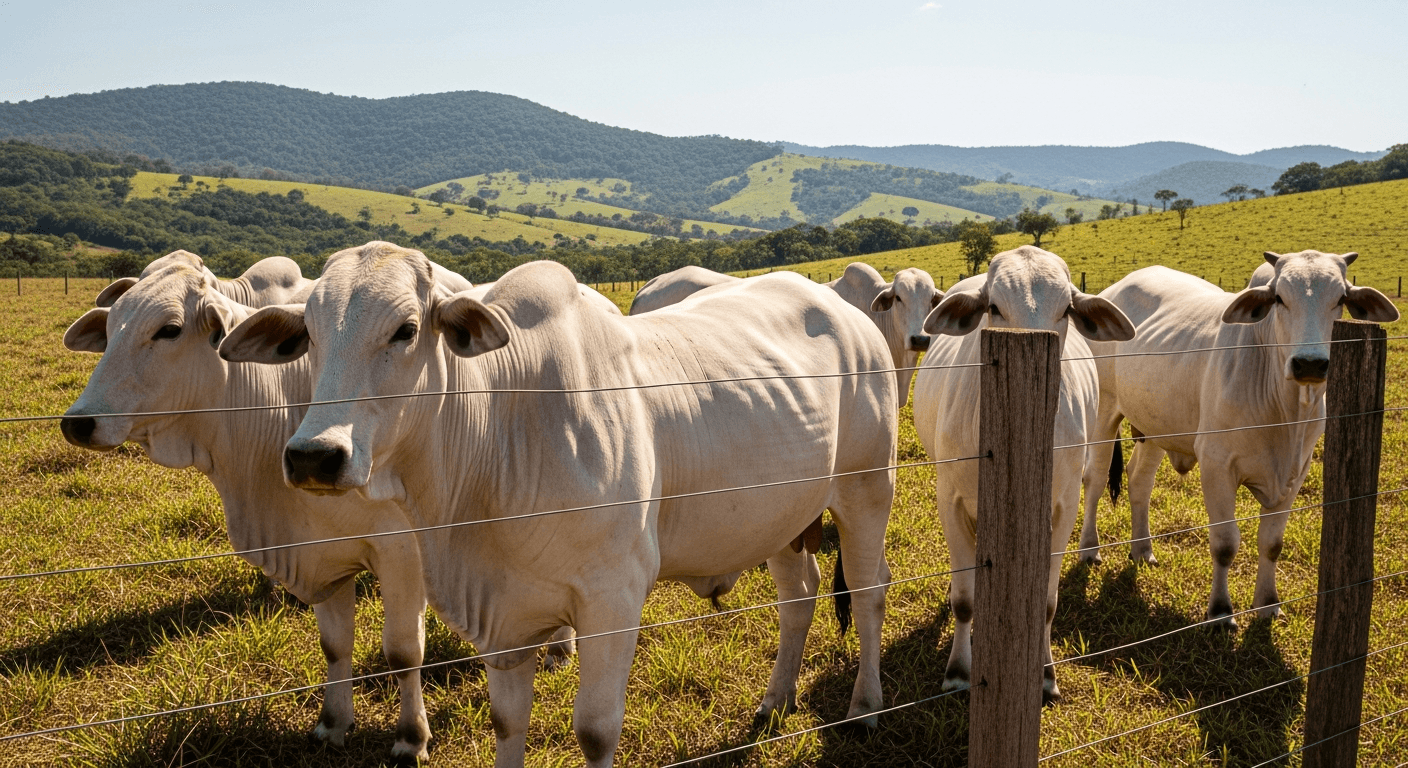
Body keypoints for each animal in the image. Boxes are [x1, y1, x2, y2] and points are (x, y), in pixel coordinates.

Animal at [59, 251, 457, 764]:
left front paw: (411, 738)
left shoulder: (401, 553)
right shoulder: (323, 551)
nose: (78, 422)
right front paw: (332, 724)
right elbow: (335, 645)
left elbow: (403, 654)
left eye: (169, 329)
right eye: (109, 330)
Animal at [220, 242, 897, 768]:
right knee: (799, 596)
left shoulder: (614, 597)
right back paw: (775, 700)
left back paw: (865, 707)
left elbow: (595, 732)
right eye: (309, 335)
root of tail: (846, 310)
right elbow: (506, 724)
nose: (313, 455)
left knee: (868, 593)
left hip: (867, 489)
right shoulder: (504, 614)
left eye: (406, 330)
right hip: (784, 518)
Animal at [911, 245, 1135, 702]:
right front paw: (958, 671)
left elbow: (1046, 603)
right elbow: (965, 600)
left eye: (1066, 310)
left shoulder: (1061, 507)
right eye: (994, 307)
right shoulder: (950, 501)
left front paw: (1045, 673)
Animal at [1076, 253, 1398, 627]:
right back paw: (1089, 549)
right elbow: (1225, 543)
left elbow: (1272, 542)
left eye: (1340, 299)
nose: (1310, 364)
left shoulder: (1296, 472)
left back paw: (1142, 550)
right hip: (1105, 411)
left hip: (1155, 425)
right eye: (1279, 298)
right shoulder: (1216, 465)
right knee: (1095, 477)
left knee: (1139, 480)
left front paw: (1268, 604)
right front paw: (1219, 611)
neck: (1286, 411)